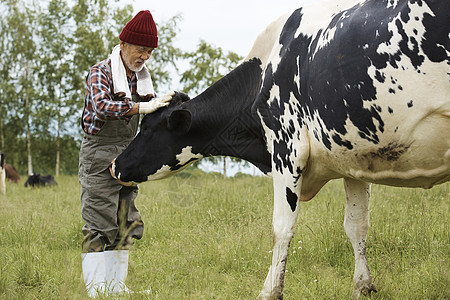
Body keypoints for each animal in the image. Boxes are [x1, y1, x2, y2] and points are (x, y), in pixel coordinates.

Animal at [110, 0, 448, 298]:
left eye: (149, 128)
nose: (114, 165)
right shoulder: (353, 158)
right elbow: (357, 226)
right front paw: (362, 287)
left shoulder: (287, 148)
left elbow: (281, 228)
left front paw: (269, 291)